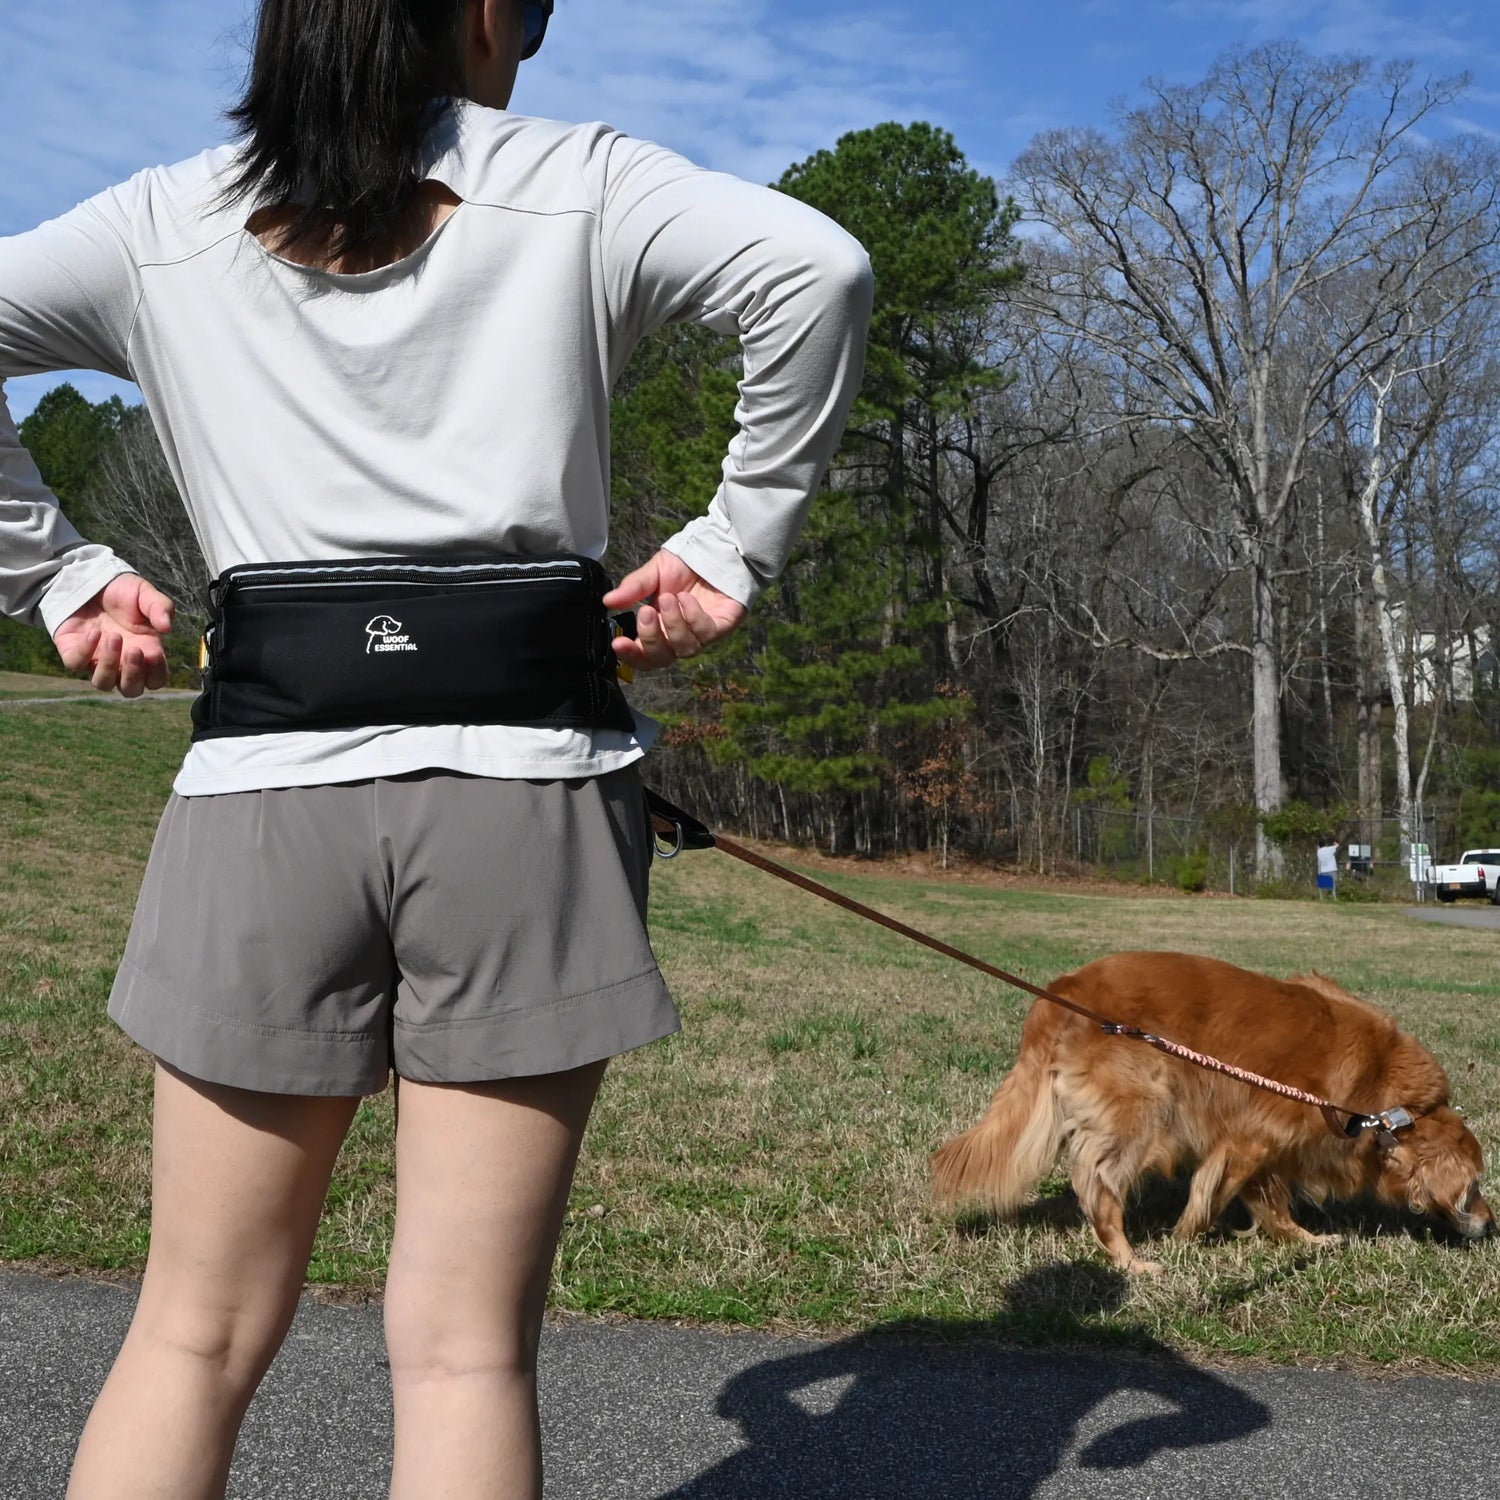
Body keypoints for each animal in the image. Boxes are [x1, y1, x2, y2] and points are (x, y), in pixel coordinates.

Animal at [931, 951, 1494, 1272]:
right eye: (1475, 1187)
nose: (1492, 1226)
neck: (1386, 1102)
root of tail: (1064, 989)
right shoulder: (1251, 1137)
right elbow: (1212, 1192)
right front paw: (1186, 1240)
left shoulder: (1269, 1147)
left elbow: (1272, 1206)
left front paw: (1307, 1241)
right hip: (1142, 1109)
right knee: (1100, 1190)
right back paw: (1131, 1261)